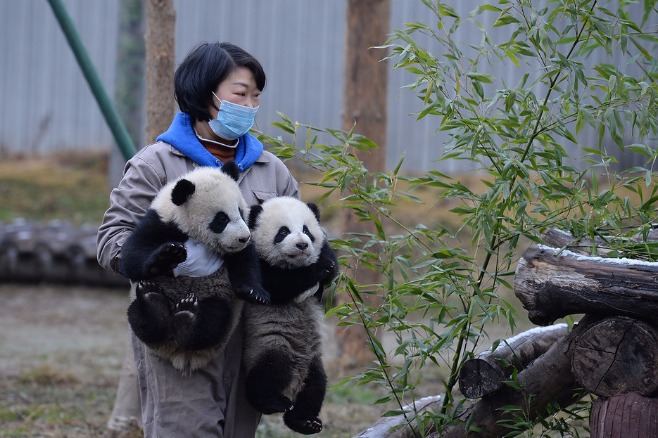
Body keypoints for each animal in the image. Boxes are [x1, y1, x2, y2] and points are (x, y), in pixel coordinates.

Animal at [119, 161, 269, 374]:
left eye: (240, 211)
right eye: (221, 219)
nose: (244, 237)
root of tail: (175, 349)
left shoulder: (236, 250)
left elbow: (245, 261)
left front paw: (255, 293)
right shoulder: (160, 221)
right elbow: (133, 254)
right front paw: (168, 255)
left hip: (218, 299)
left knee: (212, 320)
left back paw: (187, 317)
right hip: (140, 310)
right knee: (139, 319)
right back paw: (153, 301)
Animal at [243, 196, 339, 435]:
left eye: (306, 230)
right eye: (283, 231)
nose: (302, 245)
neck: (292, 264)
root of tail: (294, 383)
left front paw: (327, 262)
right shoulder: (258, 265)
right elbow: (278, 285)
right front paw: (318, 268)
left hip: (313, 359)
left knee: (316, 387)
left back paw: (304, 421)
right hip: (273, 342)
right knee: (266, 375)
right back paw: (274, 402)